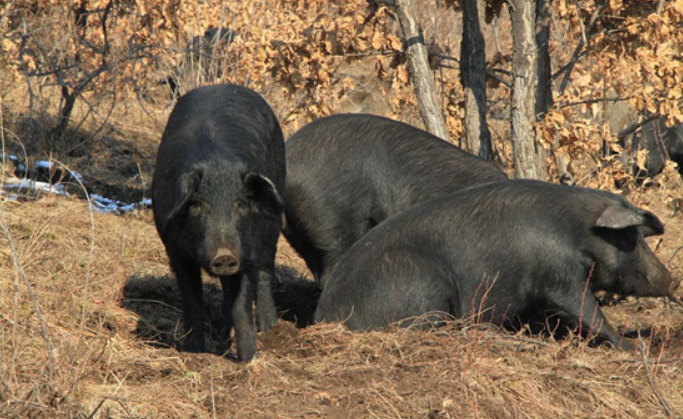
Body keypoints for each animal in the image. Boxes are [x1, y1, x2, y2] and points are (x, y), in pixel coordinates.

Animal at [152, 83, 286, 360]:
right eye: (197, 204)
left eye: (241, 204)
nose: (224, 255)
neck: (217, 165)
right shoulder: (174, 249)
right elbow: (193, 302)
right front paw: (195, 353)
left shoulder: (246, 249)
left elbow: (242, 305)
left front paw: (250, 360)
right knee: (226, 289)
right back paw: (224, 336)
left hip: (273, 219)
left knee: (266, 270)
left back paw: (269, 328)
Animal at [316, 180, 680, 352]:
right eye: (630, 236)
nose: (672, 280)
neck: (576, 230)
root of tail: (325, 315)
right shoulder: (558, 275)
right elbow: (587, 310)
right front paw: (633, 346)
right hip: (423, 284)